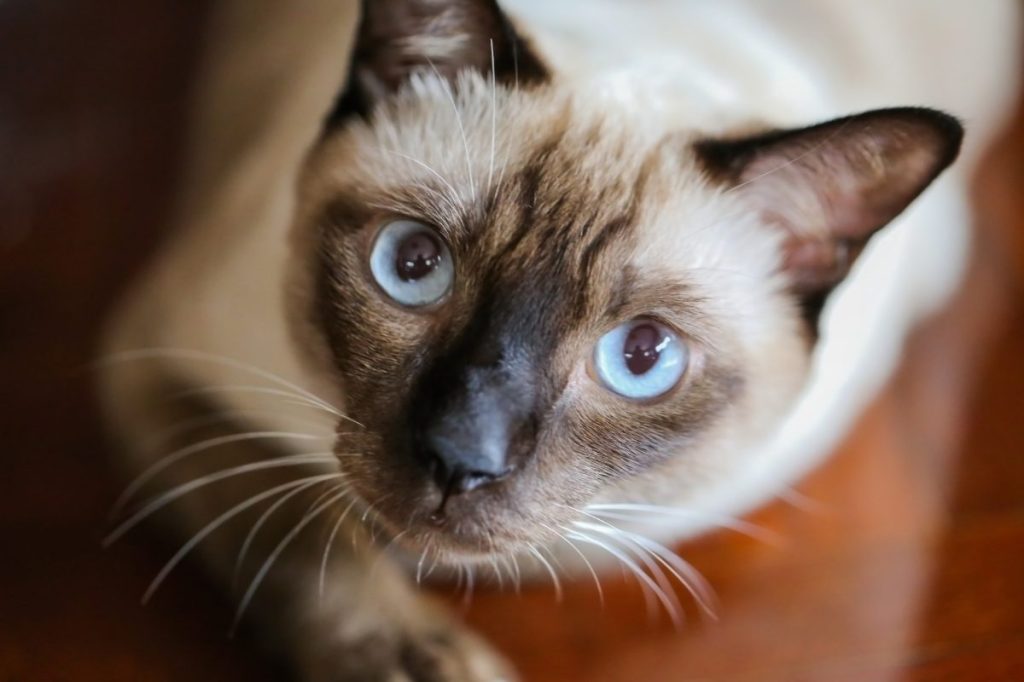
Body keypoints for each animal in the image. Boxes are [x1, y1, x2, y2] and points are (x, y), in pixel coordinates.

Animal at [99, 0, 1019, 675]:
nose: (460, 459)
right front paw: (417, 661)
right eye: (413, 265)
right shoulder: (158, 363)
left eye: (642, 357)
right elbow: (305, 538)